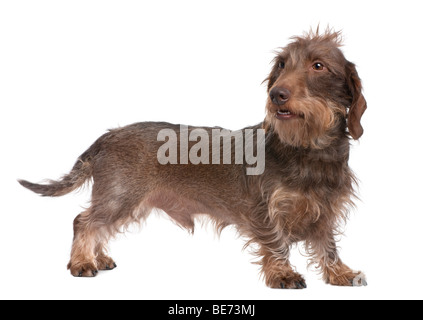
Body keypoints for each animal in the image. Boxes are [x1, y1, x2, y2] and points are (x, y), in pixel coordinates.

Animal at [18, 28, 368, 288]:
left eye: (318, 66)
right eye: (281, 65)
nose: (275, 94)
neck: (309, 148)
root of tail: (108, 135)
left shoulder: (326, 211)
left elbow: (328, 245)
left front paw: (340, 273)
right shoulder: (266, 210)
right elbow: (276, 243)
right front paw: (283, 273)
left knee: (98, 226)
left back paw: (98, 257)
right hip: (120, 196)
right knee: (84, 221)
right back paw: (82, 261)